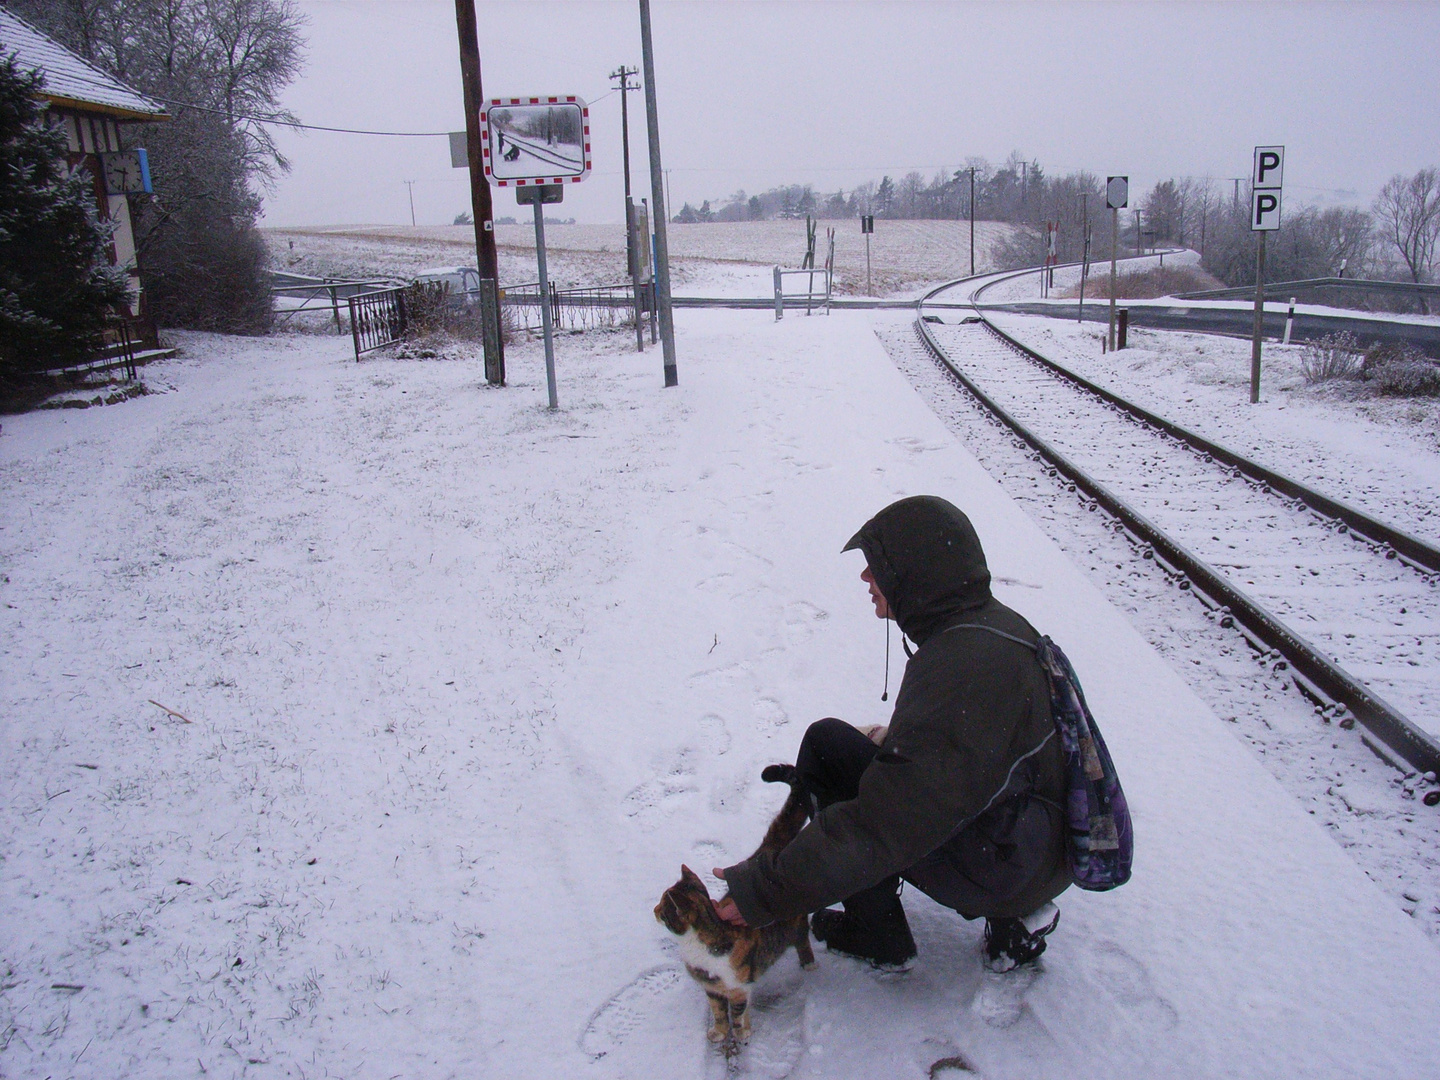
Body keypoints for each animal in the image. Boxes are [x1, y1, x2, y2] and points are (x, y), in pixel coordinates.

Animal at [656, 766, 817, 1042]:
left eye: (664, 910)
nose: (654, 910)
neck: (696, 946)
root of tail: (769, 851)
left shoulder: (739, 987)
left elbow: (739, 1012)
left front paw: (742, 1033)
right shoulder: (712, 989)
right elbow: (719, 1012)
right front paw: (719, 1032)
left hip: (795, 922)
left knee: (801, 938)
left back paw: (809, 964)